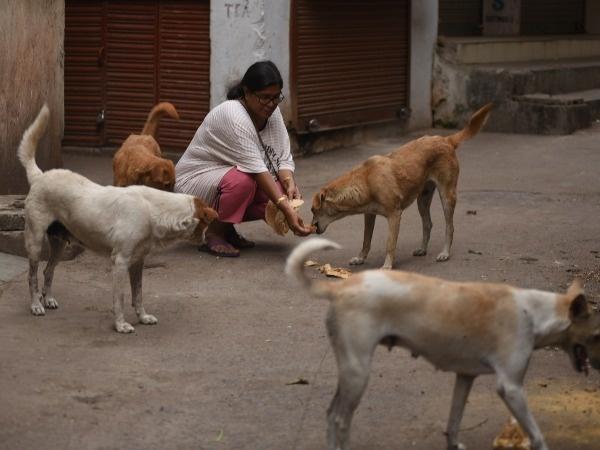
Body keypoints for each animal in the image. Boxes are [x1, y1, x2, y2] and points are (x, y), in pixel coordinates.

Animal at [17, 103, 219, 332]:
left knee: (48, 271)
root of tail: (40, 175)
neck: (153, 210)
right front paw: (121, 325)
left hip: (59, 243)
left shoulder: (138, 262)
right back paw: (36, 305)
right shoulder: (120, 262)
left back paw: (49, 299)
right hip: (35, 242)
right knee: (32, 275)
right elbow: (120, 298)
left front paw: (143, 317)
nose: (205, 239)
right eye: (205, 225)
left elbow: (138, 294)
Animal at [284, 239, 600, 450]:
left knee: (330, 414)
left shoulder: (465, 377)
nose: (598, 365)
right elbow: (536, 434)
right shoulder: (510, 388)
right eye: (597, 335)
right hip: (358, 372)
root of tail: (340, 287)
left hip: (350, 371)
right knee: (339, 419)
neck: (535, 312)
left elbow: (454, 421)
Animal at [310, 103, 492, 268]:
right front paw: (360, 258)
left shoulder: (394, 215)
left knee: (450, 227)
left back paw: (445, 253)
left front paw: (387, 266)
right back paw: (422, 249)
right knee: (428, 224)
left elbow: (390, 244)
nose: (311, 227)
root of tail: (445, 140)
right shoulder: (369, 215)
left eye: (313, 210)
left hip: (447, 196)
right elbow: (366, 240)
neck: (366, 180)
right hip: (422, 199)